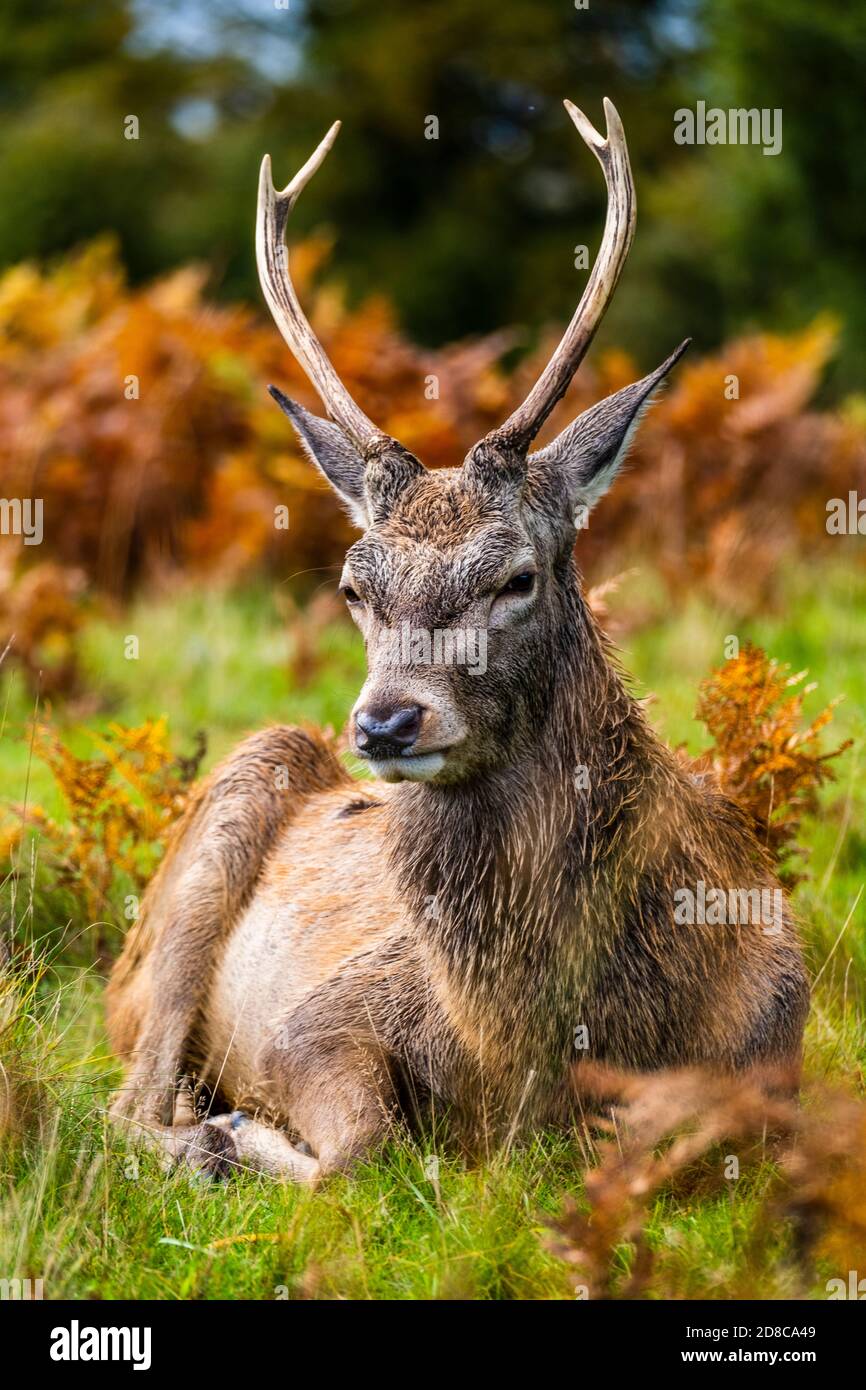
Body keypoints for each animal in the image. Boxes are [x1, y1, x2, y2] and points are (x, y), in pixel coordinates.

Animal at [106, 99, 809, 1182]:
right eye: (354, 587)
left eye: (515, 576)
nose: (386, 723)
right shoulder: (317, 1019)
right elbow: (365, 1147)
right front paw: (241, 1134)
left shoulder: (776, 1057)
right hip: (211, 841)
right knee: (126, 1102)